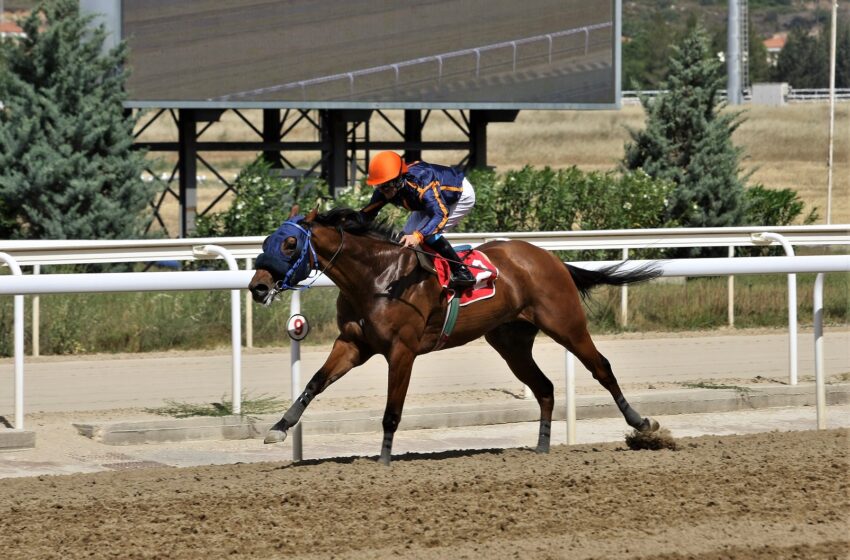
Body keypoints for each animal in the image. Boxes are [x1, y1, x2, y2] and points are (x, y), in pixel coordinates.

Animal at [248, 208, 660, 466]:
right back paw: (541, 448)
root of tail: (550, 258)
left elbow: (392, 412)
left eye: (289, 244)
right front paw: (278, 429)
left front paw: (383, 460)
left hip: (566, 324)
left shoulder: (402, 350)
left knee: (601, 368)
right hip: (510, 342)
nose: (257, 287)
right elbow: (315, 382)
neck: (377, 277)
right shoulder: (352, 344)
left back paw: (642, 423)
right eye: (268, 241)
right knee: (544, 388)